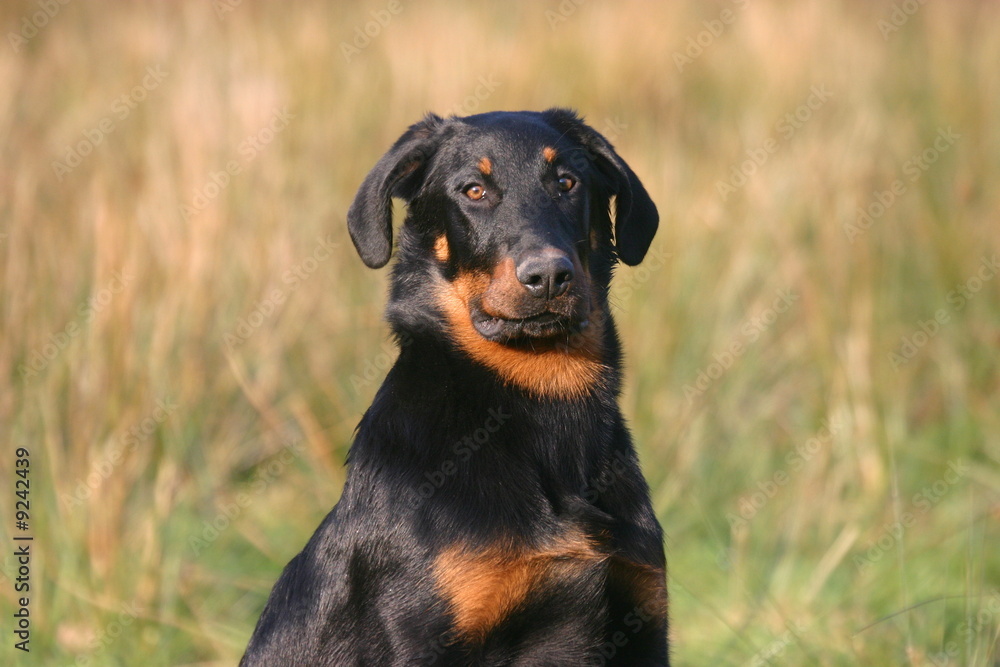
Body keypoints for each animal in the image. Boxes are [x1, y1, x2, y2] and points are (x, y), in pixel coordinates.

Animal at [238, 107, 668, 664]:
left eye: (567, 183)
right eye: (473, 191)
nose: (549, 276)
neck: (546, 405)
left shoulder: (643, 618)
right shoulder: (427, 636)